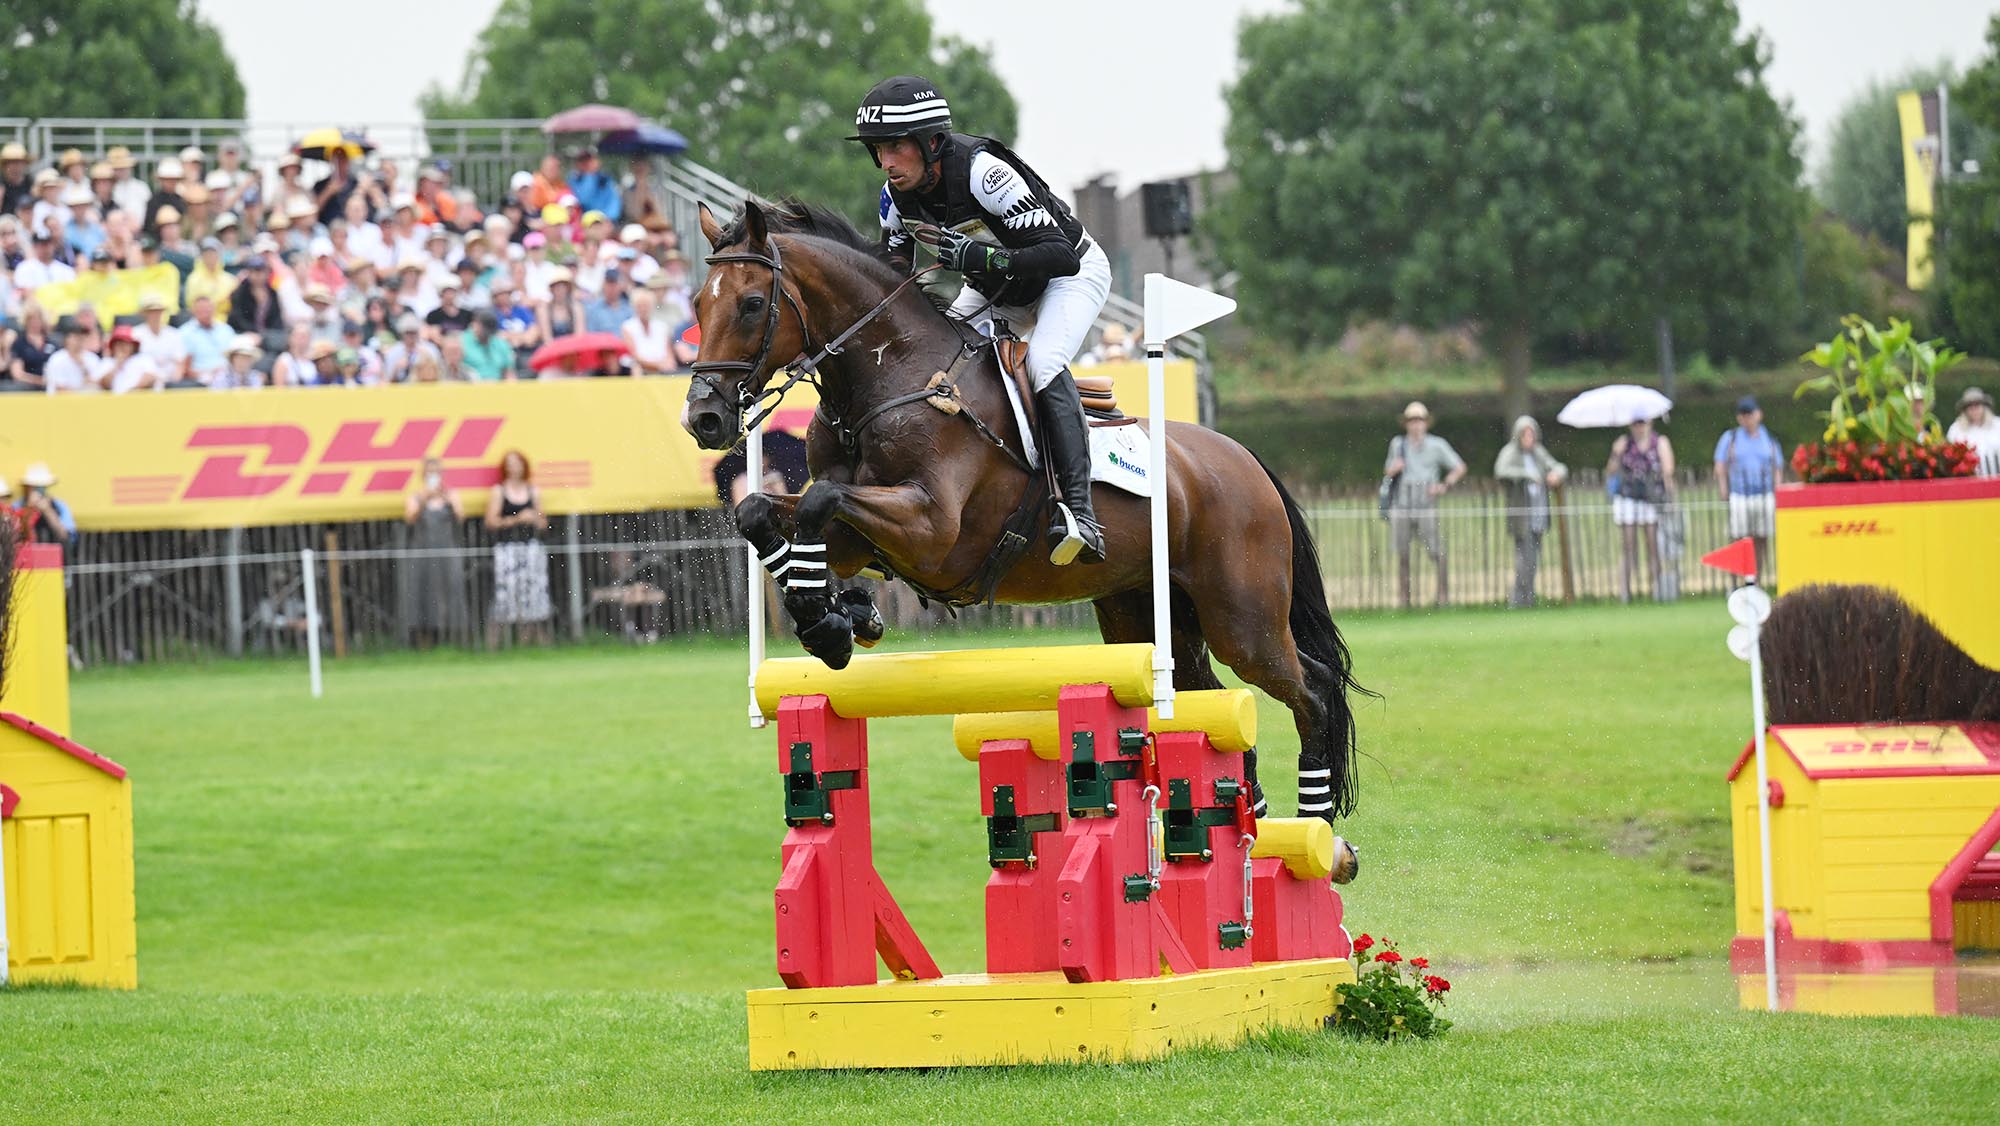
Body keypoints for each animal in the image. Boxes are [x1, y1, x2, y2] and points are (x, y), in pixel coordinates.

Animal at [682, 199, 1368, 843]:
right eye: (696, 304)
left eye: (750, 304)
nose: (704, 418)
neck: (889, 377)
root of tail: (1246, 460)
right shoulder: (863, 535)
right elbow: (763, 511)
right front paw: (838, 616)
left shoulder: (933, 530)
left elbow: (820, 499)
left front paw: (831, 623)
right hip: (1147, 615)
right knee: (1217, 701)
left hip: (1243, 619)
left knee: (1310, 690)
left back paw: (1321, 833)